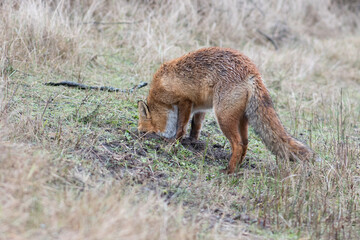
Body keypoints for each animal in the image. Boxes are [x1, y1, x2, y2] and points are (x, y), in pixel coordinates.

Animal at [138, 46, 316, 172]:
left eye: (143, 131)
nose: (139, 137)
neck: (159, 91)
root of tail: (253, 72)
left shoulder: (185, 101)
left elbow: (181, 127)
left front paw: (172, 142)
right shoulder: (199, 108)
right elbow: (195, 127)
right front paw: (192, 142)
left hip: (223, 117)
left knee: (238, 144)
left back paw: (228, 170)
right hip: (241, 119)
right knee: (245, 142)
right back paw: (238, 166)